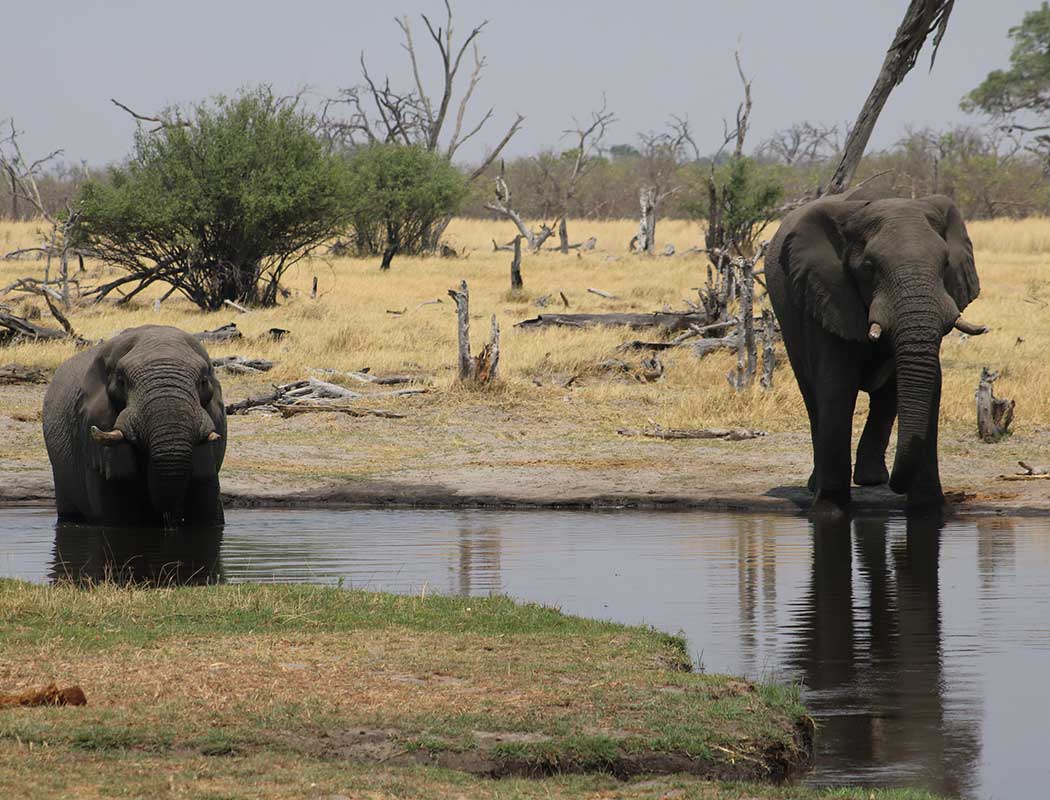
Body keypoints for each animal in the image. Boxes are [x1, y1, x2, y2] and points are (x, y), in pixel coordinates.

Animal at [764, 190, 982, 508]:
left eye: (944, 264)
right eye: (869, 267)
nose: (897, 487)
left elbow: (932, 385)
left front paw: (928, 506)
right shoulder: (828, 294)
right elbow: (836, 385)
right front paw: (830, 506)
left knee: (887, 394)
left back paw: (871, 480)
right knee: (811, 392)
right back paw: (820, 484)